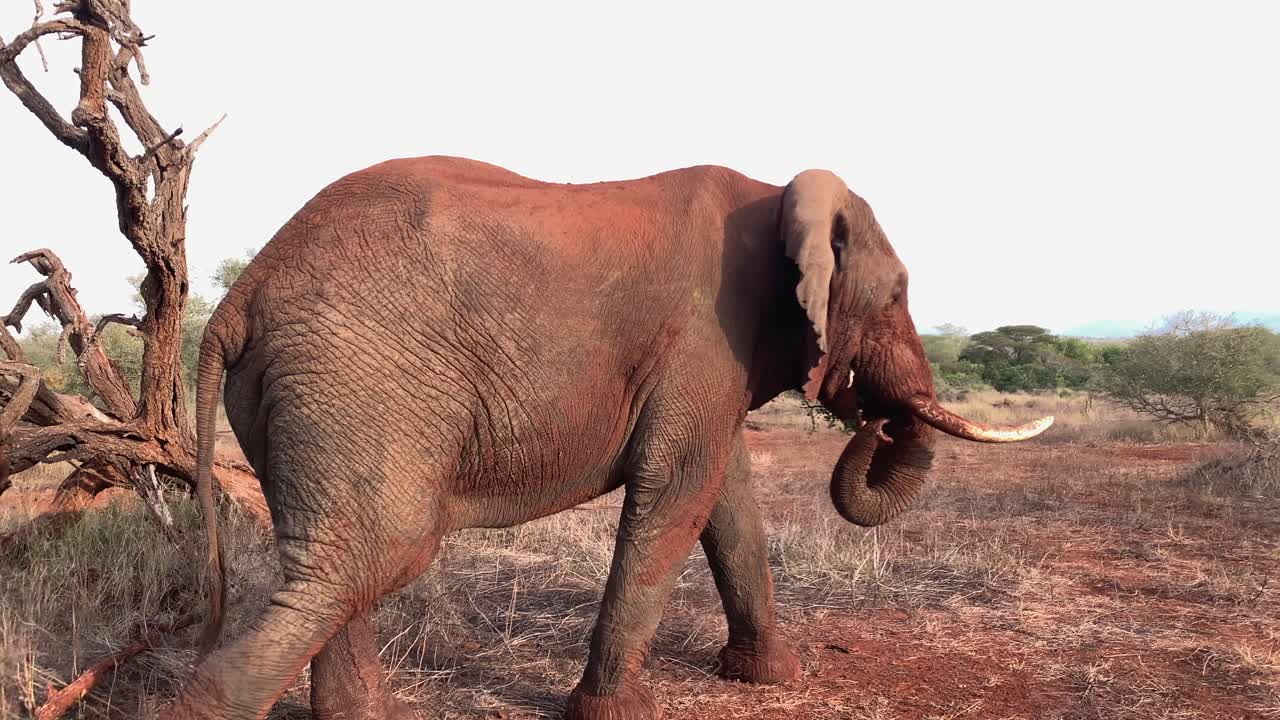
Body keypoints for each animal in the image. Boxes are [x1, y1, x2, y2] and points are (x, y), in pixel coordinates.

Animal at [163, 156, 1052, 720]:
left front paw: (769, 679)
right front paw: (615, 713)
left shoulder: (709, 358)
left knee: (334, 566)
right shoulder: (703, 333)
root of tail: (242, 293)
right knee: (376, 553)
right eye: (897, 294)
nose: (874, 413)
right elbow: (678, 494)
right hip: (357, 377)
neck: (775, 193)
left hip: (305, 391)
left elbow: (726, 500)